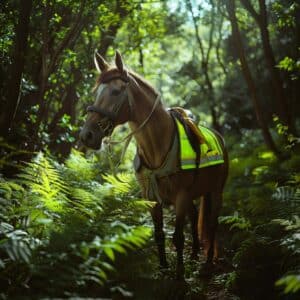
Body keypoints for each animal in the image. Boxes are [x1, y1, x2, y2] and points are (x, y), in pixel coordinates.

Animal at [78, 49, 229, 278]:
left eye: (115, 92)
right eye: (96, 92)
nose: (87, 135)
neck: (158, 145)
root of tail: (219, 137)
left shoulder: (181, 196)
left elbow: (177, 237)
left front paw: (179, 275)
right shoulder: (150, 197)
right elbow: (159, 234)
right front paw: (164, 268)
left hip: (216, 191)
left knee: (212, 223)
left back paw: (208, 262)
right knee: (195, 218)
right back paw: (195, 255)